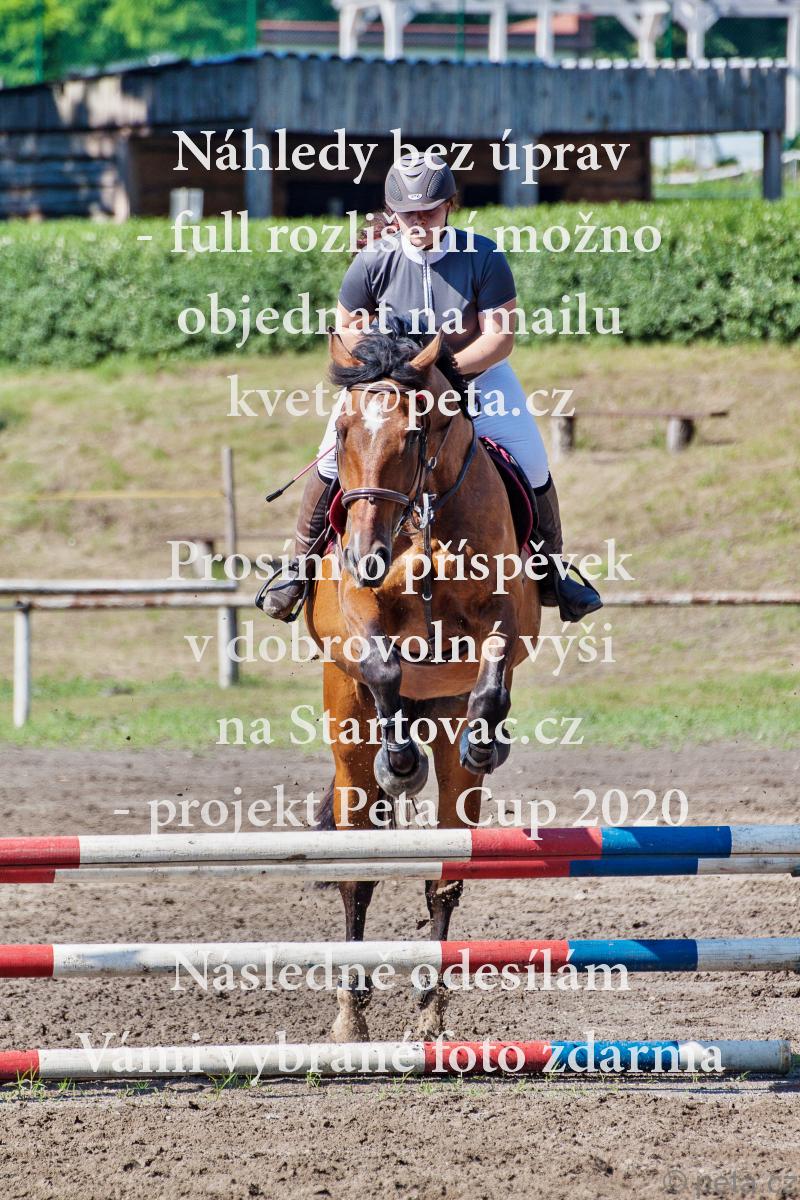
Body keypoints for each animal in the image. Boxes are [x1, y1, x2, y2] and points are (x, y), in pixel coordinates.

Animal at [305, 322, 541, 1041]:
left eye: (413, 434)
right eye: (342, 430)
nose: (366, 552)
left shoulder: (507, 614)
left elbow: (494, 671)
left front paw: (487, 739)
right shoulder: (358, 606)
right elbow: (382, 660)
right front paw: (401, 764)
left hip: (445, 733)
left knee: (445, 877)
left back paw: (430, 1018)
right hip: (347, 738)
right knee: (357, 875)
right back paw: (350, 1018)